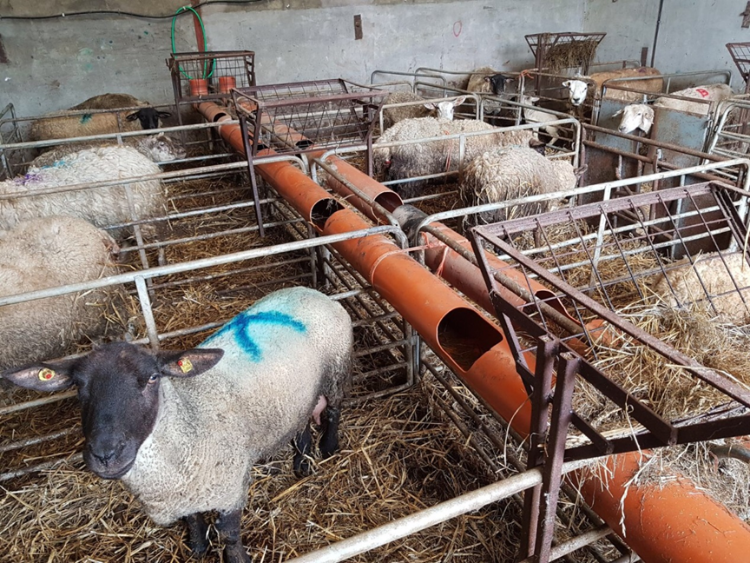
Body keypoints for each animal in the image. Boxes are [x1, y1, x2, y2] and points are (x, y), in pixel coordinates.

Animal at [0, 286, 353, 563]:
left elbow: (230, 536)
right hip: (299, 394)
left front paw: (234, 556)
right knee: (301, 422)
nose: (105, 454)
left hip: (337, 370)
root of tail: (312, 291)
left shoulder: (228, 488)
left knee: (333, 409)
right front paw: (197, 547)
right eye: (78, 385)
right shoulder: (186, 490)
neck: (186, 416)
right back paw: (302, 464)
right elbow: (193, 520)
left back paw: (328, 448)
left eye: (152, 379)